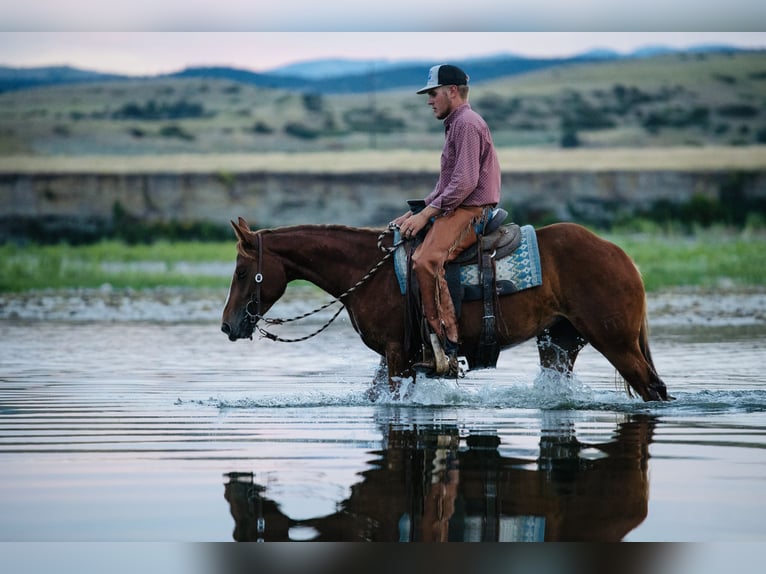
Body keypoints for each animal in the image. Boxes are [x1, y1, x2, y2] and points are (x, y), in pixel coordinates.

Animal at [221, 217, 670, 401]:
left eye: (242, 271)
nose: (228, 326)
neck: (368, 270)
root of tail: (620, 255)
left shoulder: (396, 353)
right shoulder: (393, 357)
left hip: (616, 341)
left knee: (654, 389)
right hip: (559, 343)